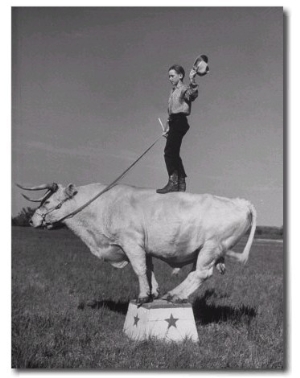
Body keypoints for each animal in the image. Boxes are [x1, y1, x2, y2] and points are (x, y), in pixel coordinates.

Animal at [19, 183, 256, 304]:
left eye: (48, 201)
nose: (31, 220)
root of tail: (240, 202)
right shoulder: (143, 247)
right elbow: (149, 268)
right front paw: (153, 292)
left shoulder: (131, 242)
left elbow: (139, 269)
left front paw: (142, 296)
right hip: (204, 251)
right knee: (195, 274)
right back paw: (174, 293)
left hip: (211, 247)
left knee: (201, 274)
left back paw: (176, 294)